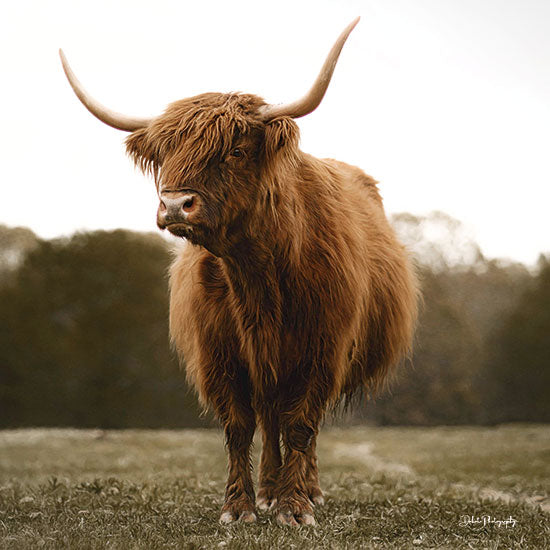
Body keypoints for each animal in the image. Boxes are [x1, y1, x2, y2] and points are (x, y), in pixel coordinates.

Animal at [60, 16, 420, 528]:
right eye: (165, 152)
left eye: (234, 150)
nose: (175, 205)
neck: (257, 276)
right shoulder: (219, 353)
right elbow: (238, 426)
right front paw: (241, 507)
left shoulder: (324, 349)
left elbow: (302, 424)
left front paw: (295, 509)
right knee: (269, 419)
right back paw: (269, 489)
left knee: (298, 427)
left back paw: (307, 491)